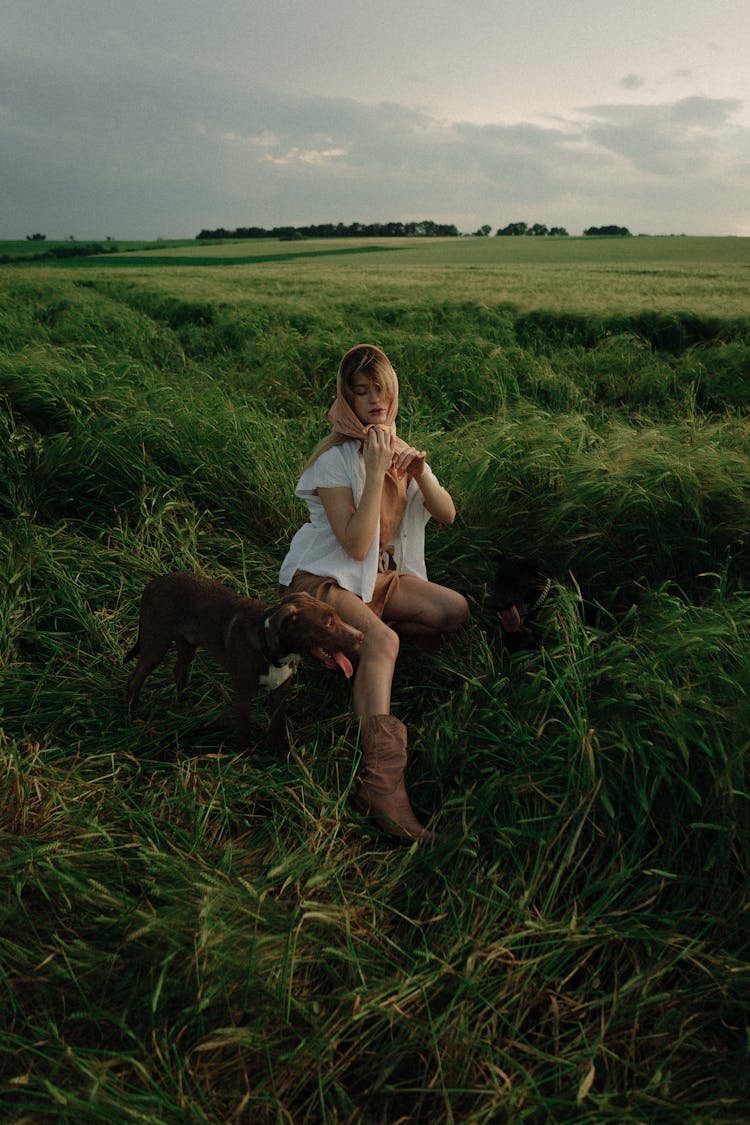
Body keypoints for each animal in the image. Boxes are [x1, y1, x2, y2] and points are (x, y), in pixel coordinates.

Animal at [123, 576, 364, 751]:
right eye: (328, 624)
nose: (361, 637)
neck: (273, 654)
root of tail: (153, 583)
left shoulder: (280, 691)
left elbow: (277, 723)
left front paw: (279, 754)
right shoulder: (242, 691)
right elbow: (243, 724)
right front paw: (243, 756)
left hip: (186, 642)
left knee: (179, 670)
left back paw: (182, 703)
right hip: (156, 642)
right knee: (135, 678)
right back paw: (131, 714)